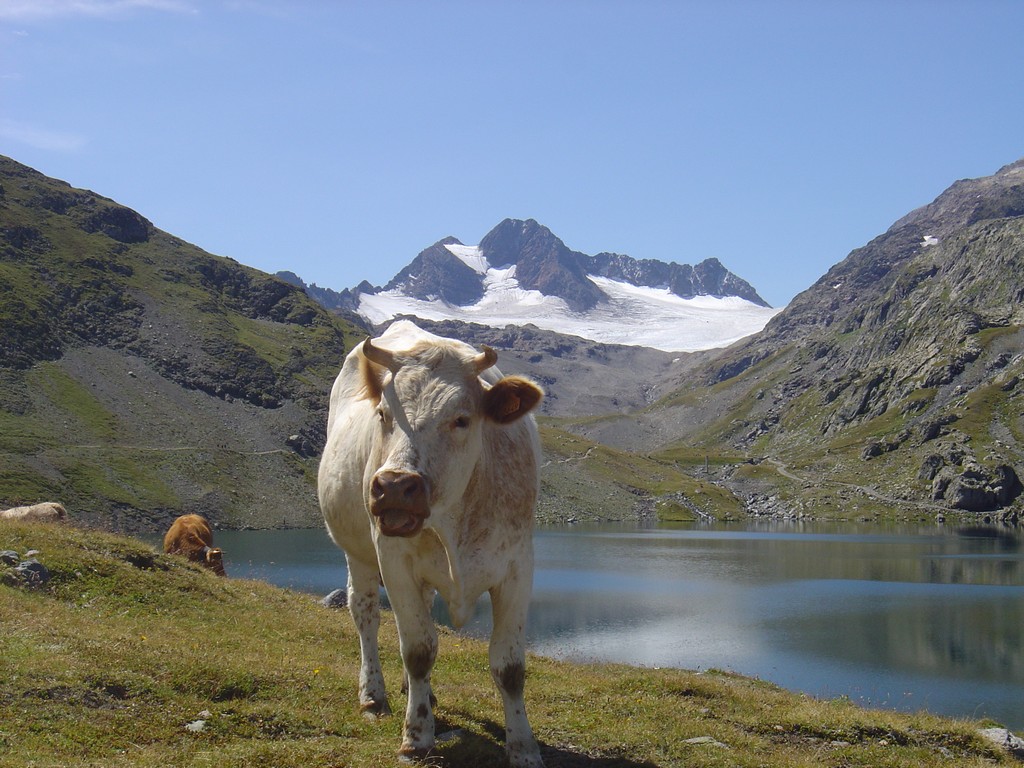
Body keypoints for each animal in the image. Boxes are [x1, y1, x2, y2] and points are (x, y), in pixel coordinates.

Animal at [317, 319, 544, 768]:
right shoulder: (394, 560)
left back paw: (417, 693)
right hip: (357, 552)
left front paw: (524, 747)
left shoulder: (517, 565)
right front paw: (417, 737)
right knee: (365, 614)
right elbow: (419, 649)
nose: (393, 487)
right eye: (383, 414)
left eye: (461, 419)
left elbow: (509, 666)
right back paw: (374, 695)